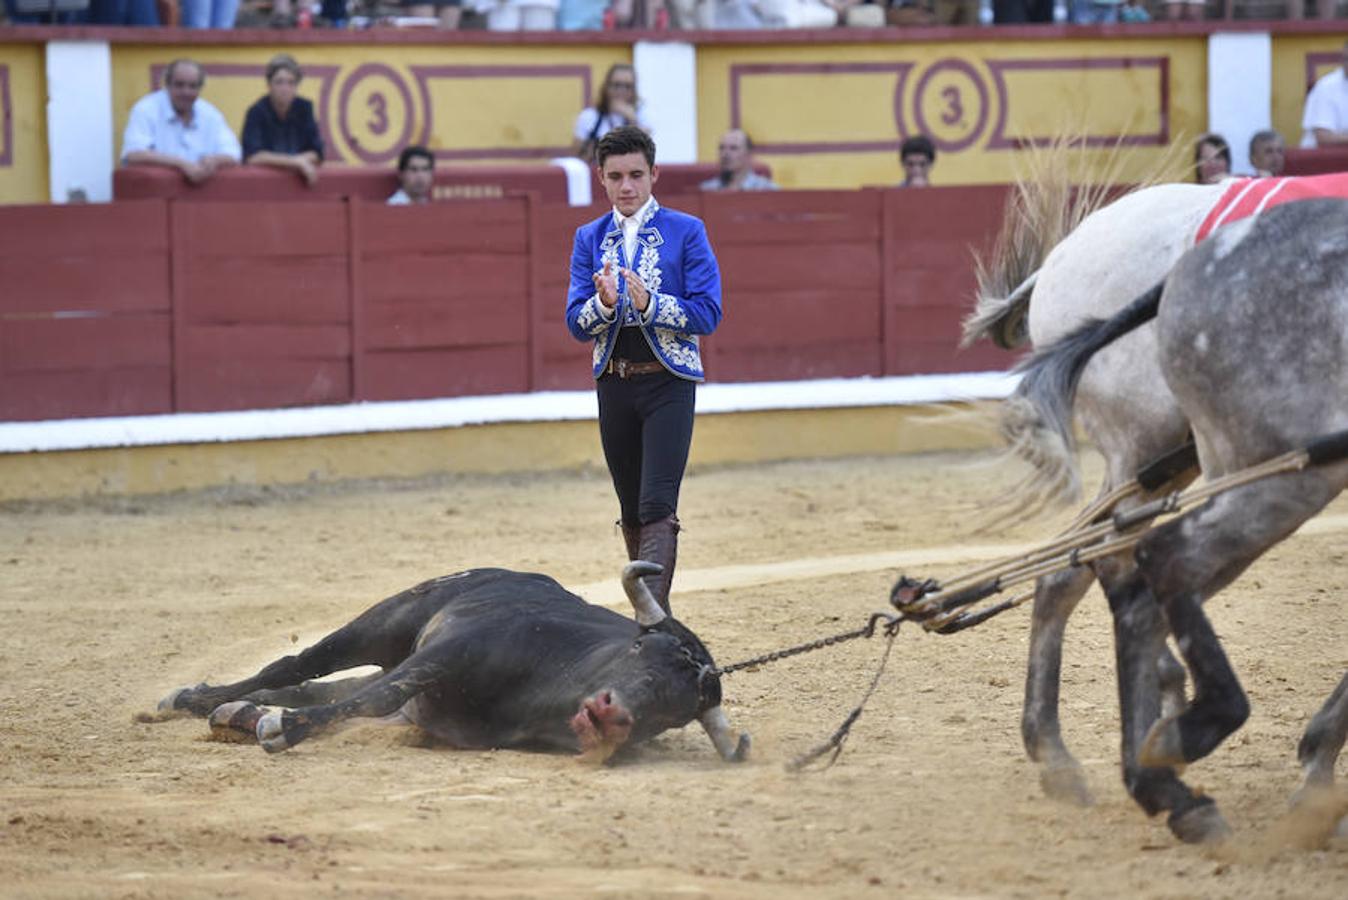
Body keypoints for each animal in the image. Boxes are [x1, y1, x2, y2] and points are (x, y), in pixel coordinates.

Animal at [160, 563, 749, 759]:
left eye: (674, 711)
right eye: (639, 651)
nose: (611, 714)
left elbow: (365, 701)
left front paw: (270, 720)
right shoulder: (448, 651)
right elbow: (376, 695)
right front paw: (282, 730)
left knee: (314, 687)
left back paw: (237, 713)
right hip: (391, 618)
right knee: (295, 666)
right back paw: (192, 699)